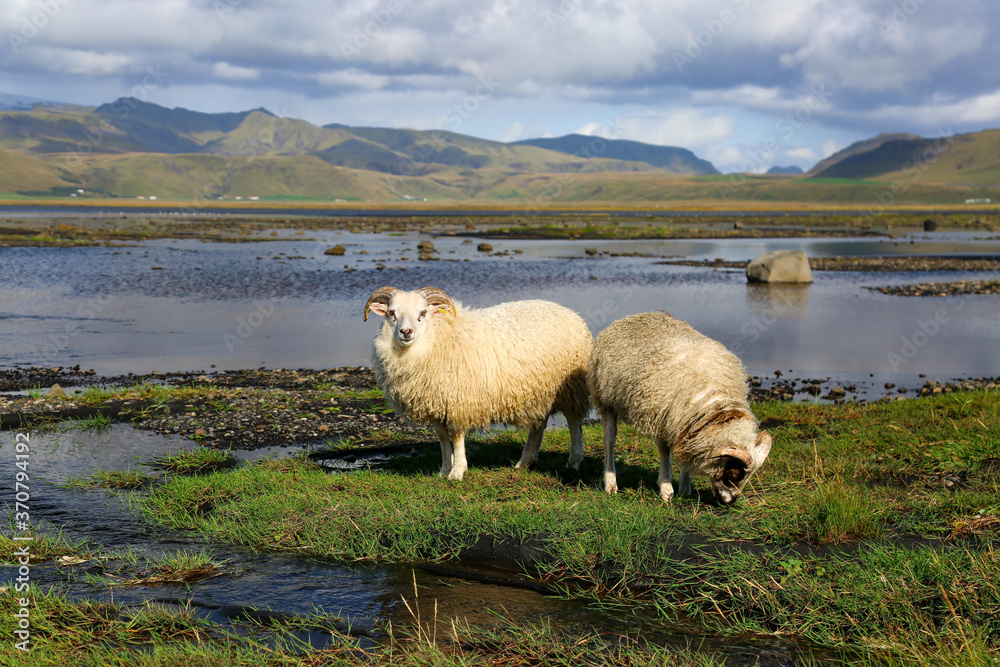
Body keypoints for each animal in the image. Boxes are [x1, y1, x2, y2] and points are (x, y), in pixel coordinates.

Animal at [363, 285, 592, 481]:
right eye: (391, 313)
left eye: (423, 313)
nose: (406, 332)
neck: (436, 338)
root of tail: (572, 313)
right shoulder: (436, 402)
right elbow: (442, 438)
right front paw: (444, 469)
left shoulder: (458, 402)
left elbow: (456, 437)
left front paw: (457, 472)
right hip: (539, 391)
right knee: (539, 424)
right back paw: (524, 463)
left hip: (572, 389)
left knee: (574, 423)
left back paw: (573, 463)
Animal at [588, 311, 771, 505]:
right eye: (734, 474)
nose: (729, 502)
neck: (715, 405)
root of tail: (635, 315)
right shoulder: (661, 419)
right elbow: (664, 454)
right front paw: (666, 489)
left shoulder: (687, 425)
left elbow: (688, 451)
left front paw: (685, 487)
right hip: (605, 399)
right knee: (609, 439)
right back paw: (610, 482)